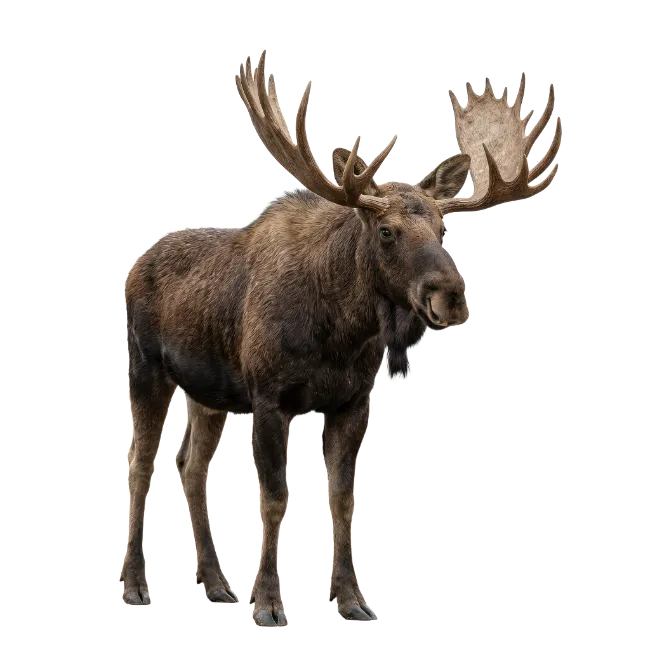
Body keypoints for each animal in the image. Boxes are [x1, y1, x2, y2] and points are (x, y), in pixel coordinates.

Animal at [120, 50, 562, 625]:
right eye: (386, 232)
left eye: (444, 229)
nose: (452, 297)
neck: (339, 335)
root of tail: (133, 266)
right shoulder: (269, 399)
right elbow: (275, 498)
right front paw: (268, 604)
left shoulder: (354, 400)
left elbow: (345, 498)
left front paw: (351, 598)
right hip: (146, 368)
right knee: (140, 463)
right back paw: (135, 585)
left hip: (208, 393)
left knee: (189, 465)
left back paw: (217, 585)